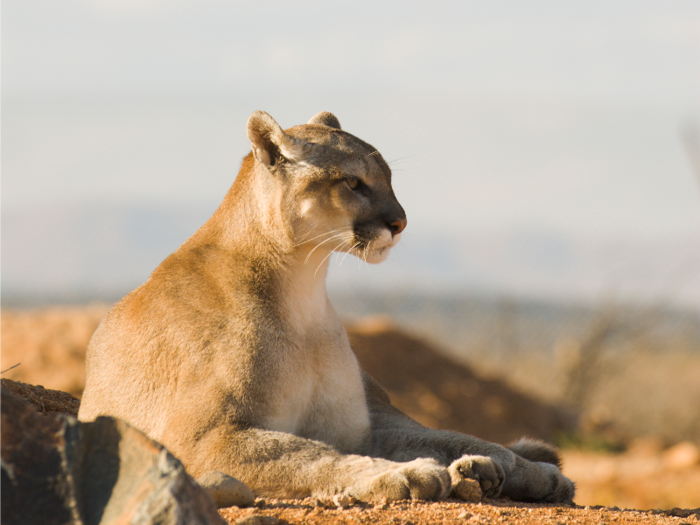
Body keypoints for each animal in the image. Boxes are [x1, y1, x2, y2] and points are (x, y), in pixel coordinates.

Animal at [79, 110, 576, 504]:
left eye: (389, 179)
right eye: (353, 183)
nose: (400, 222)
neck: (303, 287)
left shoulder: (363, 425)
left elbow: (431, 437)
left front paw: (525, 472)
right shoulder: (203, 438)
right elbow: (312, 457)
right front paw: (405, 474)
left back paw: (500, 472)